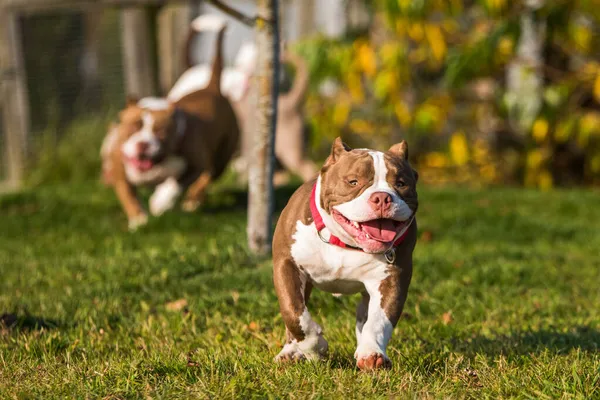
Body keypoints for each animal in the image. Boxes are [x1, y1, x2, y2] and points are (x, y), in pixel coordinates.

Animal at [104, 23, 238, 230]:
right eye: (133, 127)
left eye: (160, 132)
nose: (143, 144)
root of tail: (211, 88)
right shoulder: (120, 170)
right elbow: (128, 195)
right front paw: (138, 220)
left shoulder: (195, 164)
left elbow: (175, 185)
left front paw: (160, 203)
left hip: (221, 156)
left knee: (208, 176)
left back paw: (192, 200)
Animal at [272, 138, 418, 372]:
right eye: (353, 182)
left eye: (401, 183)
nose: (382, 197)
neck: (346, 243)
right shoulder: (287, 265)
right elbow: (293, 312)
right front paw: (316, 348)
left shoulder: (393, 278)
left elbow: (380, 320)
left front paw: (372, 353)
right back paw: (290, 352)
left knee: (365, 317)